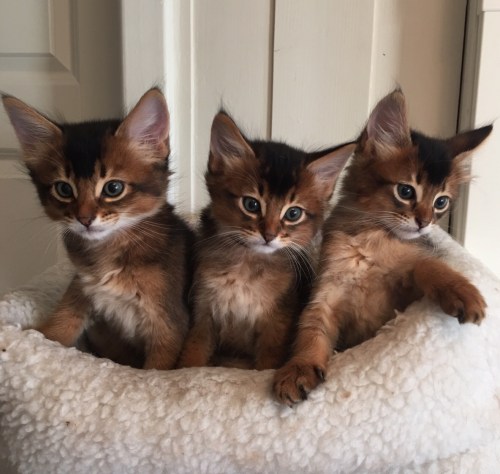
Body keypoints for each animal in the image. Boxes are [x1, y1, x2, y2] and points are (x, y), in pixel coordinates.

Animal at [2, 88, 194, 370]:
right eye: (63, 189)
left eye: (113, 188)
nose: (85, 219)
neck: (109, 251)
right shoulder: (80, 290)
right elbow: (57, 326)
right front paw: (29, 341)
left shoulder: (168, 324)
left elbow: (156, 369)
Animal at [177, 111, 355, 370]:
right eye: (251, 204)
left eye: (293, 213)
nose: (269, 235)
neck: (248, 265)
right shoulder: (203, 311)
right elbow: (193, 352)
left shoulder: (277, 321)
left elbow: (268, 361)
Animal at [273, 89, 492, 405]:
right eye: (406, 191)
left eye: (441, 202)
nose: (424, 222)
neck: (372, 242)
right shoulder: (326, 294)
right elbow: (310, 331)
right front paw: (300, 368)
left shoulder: (405, 291)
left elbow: (425, 265)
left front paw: (461, 291)